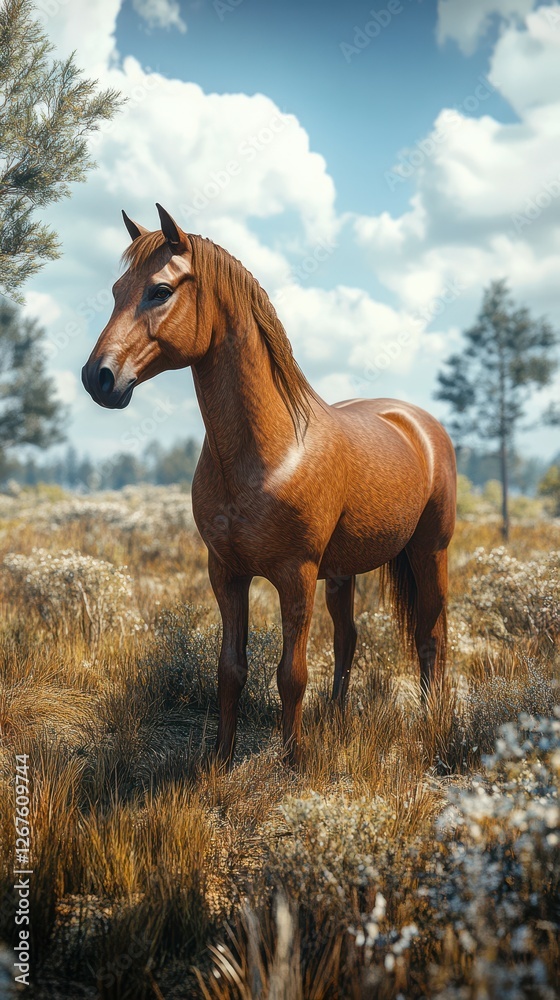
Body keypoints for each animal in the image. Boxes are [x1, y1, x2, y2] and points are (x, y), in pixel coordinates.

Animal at [82, 204, 457, 766]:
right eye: (115, 290)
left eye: (160, 291)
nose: (98, 378)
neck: (269, 454)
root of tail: (419, 424)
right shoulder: (227, 574)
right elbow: (230, 670)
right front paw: (221, 757)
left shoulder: (294, 575)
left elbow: (291, 674)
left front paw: (293, 759)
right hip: (343, 572)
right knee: (348, 637)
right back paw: (336, 717)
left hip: (428, 552)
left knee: (430, 634)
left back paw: (432, 722)